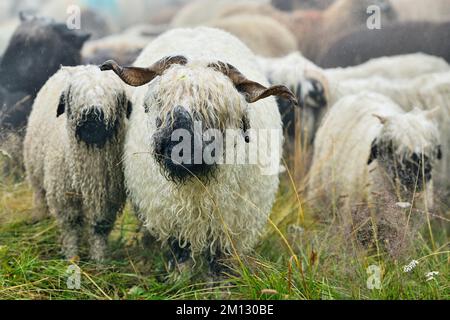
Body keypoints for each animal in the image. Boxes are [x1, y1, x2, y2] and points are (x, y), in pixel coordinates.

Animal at [101, 26, 298, 278]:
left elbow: (219, 263)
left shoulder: (229, 225)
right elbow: (180, 253)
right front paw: (179, 280)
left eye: (214, 108)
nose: (178, 145)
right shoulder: (172, 217)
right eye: (159, 102)